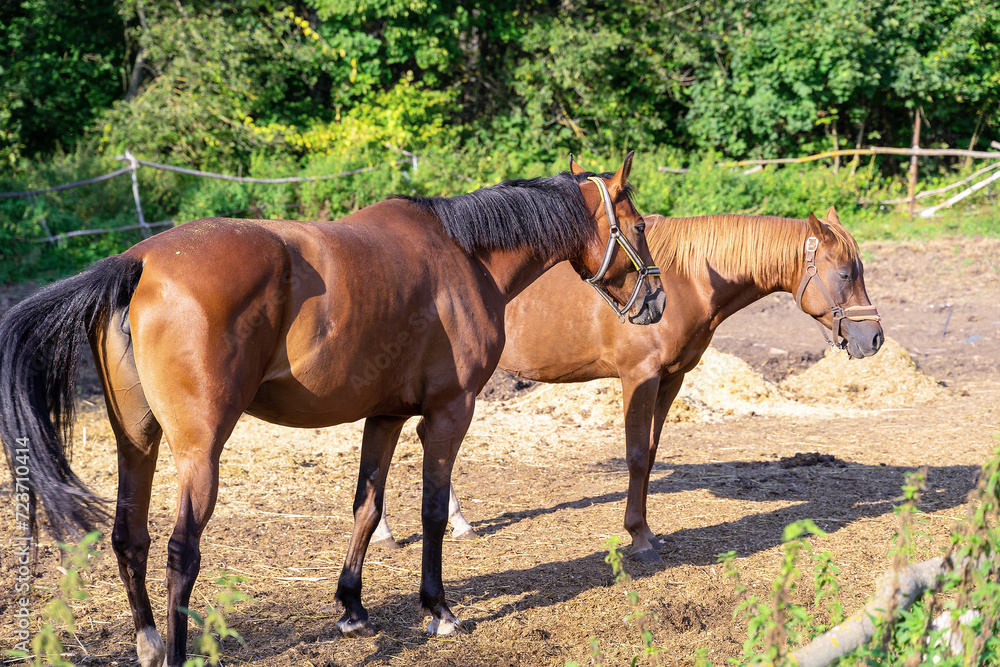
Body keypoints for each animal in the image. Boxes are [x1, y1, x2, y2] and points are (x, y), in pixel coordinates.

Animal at [0, 153, 666, 667]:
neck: (464, 254)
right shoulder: (448, 414)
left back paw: (150, 643)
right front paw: (437, 608)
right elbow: (430, 512)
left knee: (129, 539)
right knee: (180, 551)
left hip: (136, 443)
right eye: (637, 225)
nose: (656, 298)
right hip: (198, 452)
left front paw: (351, 606)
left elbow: (367, 509)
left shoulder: (386, 416)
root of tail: (138, 263)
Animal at [373, 196, 884, 562]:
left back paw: (454, 523)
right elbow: (636, 455)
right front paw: (638, 538)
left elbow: (652, 455)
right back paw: (388, 531)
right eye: (844, 273)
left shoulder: (671, 380)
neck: (686, 279)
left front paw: (647, 529)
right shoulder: (639, 377)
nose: (874, 338)